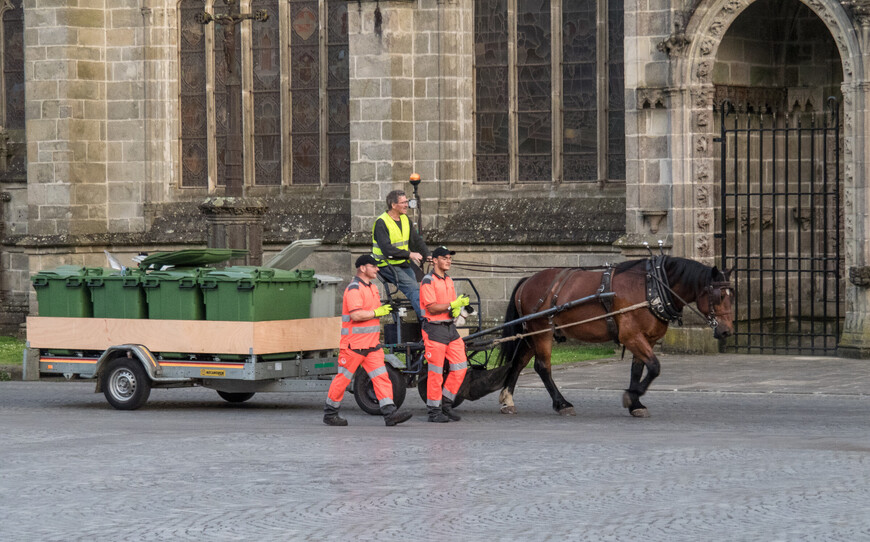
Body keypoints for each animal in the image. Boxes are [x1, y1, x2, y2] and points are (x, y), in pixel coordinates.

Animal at [494, 258, 732, 418]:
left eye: (732, 294)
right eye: (719, 295)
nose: (727, 331)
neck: (651, 287)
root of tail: (527, 281)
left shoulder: (646, 338)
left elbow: (638, 370)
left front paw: (636, 403)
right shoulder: (631, 335)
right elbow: (654, 366)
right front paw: (631, 395)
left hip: (531, 334)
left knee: (518, 363)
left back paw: (507, 400)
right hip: (542, 331)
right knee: (542, 367)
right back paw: (562, 403)